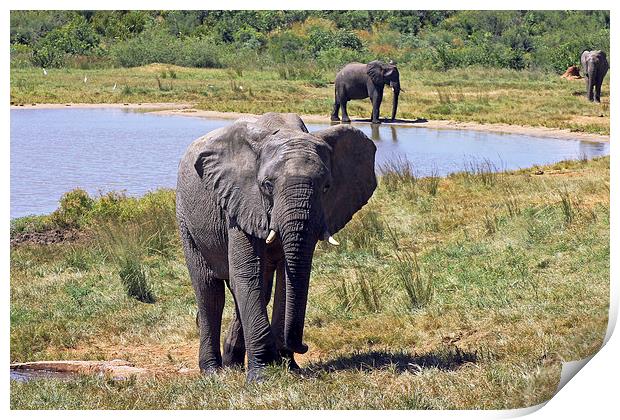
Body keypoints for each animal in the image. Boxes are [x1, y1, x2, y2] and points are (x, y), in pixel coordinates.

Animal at [176, 111, 378, 380]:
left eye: (326, 186)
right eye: (267, 185)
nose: (304, 346)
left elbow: (284, 278)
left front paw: (289, 368)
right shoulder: (240, 200)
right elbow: (246, 273)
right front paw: (262, 377)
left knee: (261, 288)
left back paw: (233, 364)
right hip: (185, 215)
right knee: (210, 291)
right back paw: (213, 372)